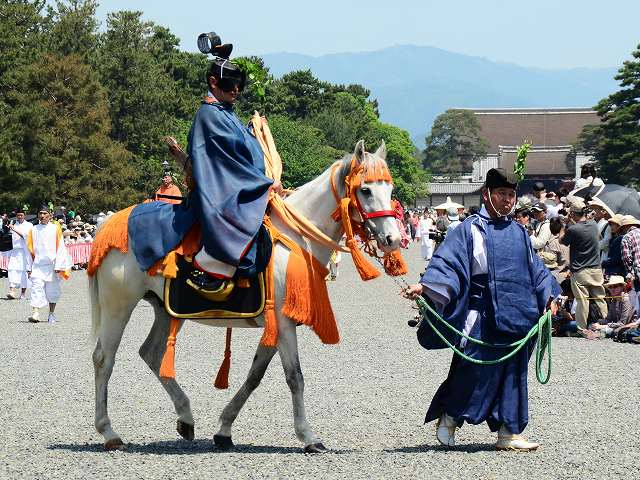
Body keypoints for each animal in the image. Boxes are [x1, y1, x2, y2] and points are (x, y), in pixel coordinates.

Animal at [89, 140, 401, 452]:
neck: (297, 240)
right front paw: (308, 436)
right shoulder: (284, 323)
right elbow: (295, 377)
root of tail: (109, 224)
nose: (393, 239)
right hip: (119, 305)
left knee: (152, 354)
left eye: (390, 190)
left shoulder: (276, 324)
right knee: (104, 358)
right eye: (365, 190)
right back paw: (109, 432)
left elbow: (255, 376)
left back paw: (185, 417)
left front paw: (224, 429)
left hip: (164, 310)